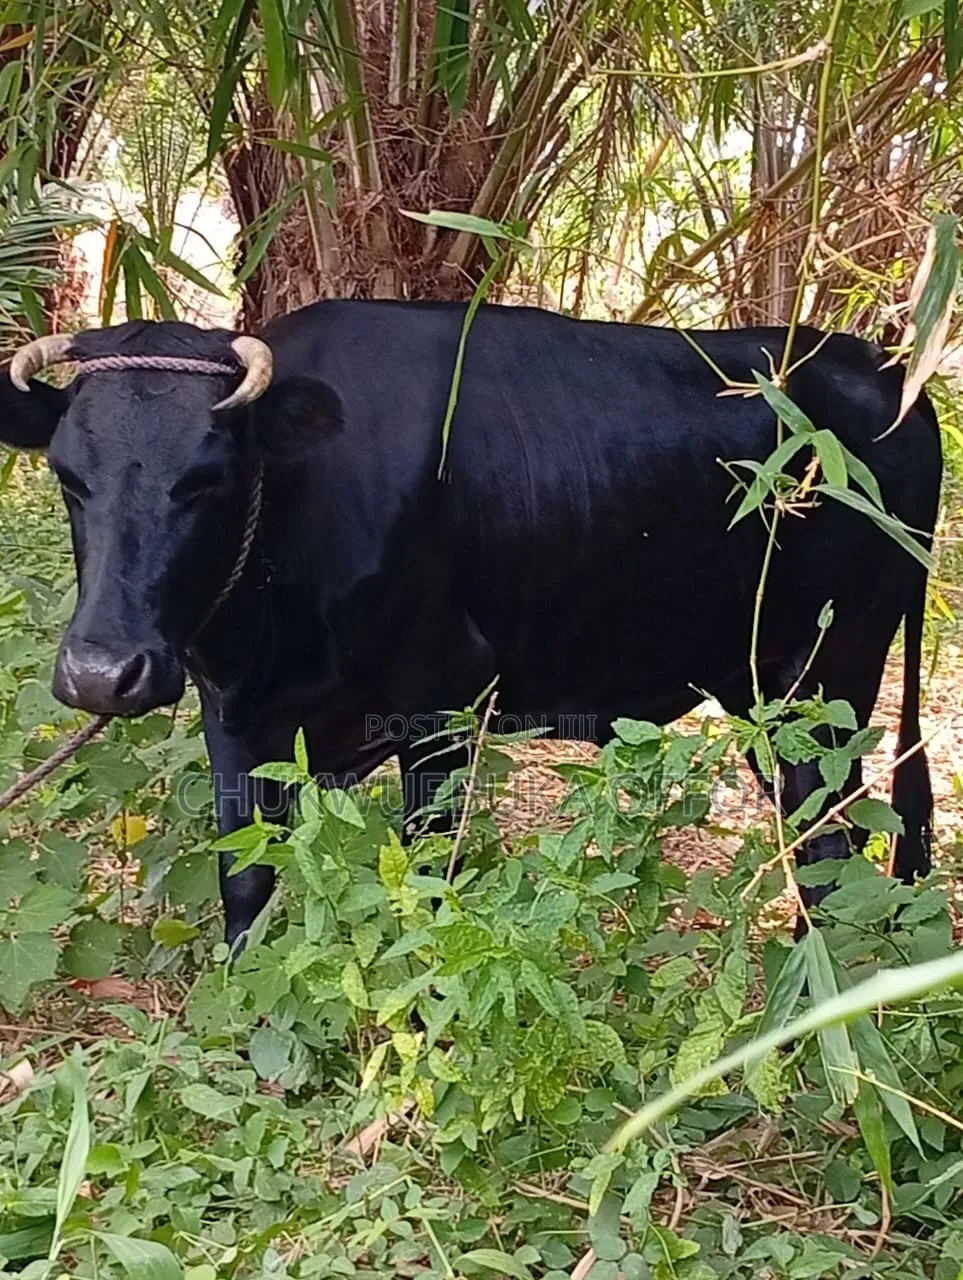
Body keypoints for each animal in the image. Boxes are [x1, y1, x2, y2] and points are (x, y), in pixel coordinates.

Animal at [0, 302, 942, 946]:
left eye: (205, 479)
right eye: (68, 478)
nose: (100, 674)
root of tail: (883, 368)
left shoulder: (441, 701)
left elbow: (424, 878)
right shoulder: (229, 709)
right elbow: (244, 879)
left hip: (830, 680)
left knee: (832, 851)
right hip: (764, 691)